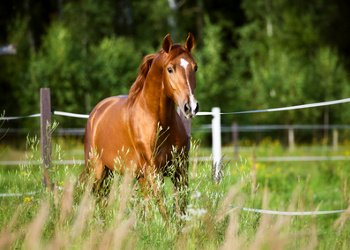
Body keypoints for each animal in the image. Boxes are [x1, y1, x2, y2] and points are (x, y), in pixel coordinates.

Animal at [83, 33, 200, 217]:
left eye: (195, 67)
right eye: (170, 69)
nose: (191, 106)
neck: (159, 122)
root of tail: (97, 111)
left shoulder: (180, 170)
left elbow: (180, 208)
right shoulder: (154, 172)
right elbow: (164, 209)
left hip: (130, 176)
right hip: (97, 170)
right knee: (97, 198)